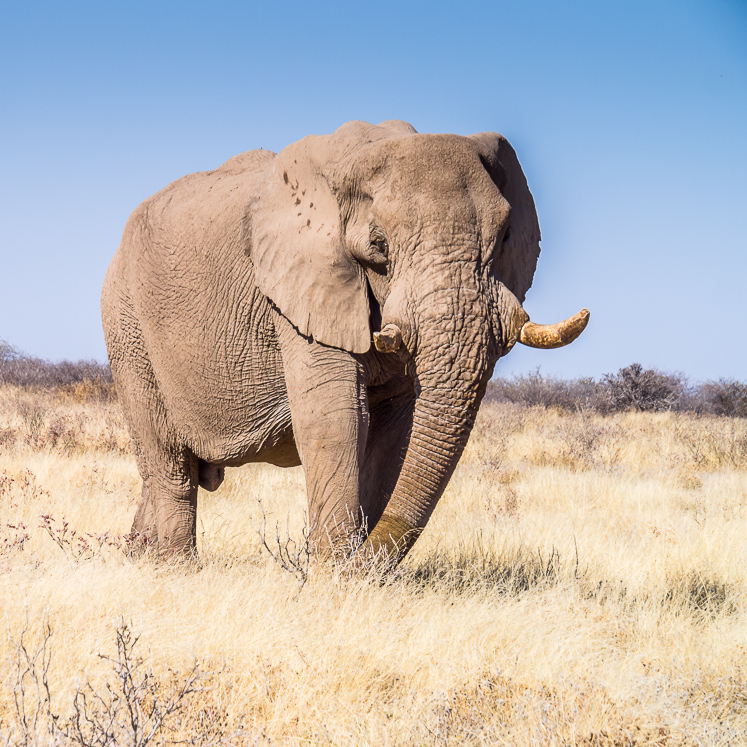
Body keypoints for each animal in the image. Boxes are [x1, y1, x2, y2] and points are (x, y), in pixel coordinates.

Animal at [101, 119, 588, 563]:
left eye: (505, 237)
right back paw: (174, 568)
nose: (363, 558)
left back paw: (138, 556)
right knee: (170, 464)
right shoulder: (302, 286)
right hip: (126, 327)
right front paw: (334, 576)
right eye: (379, 245)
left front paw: (354, 573)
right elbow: (336, 417)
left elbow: (398, 428)